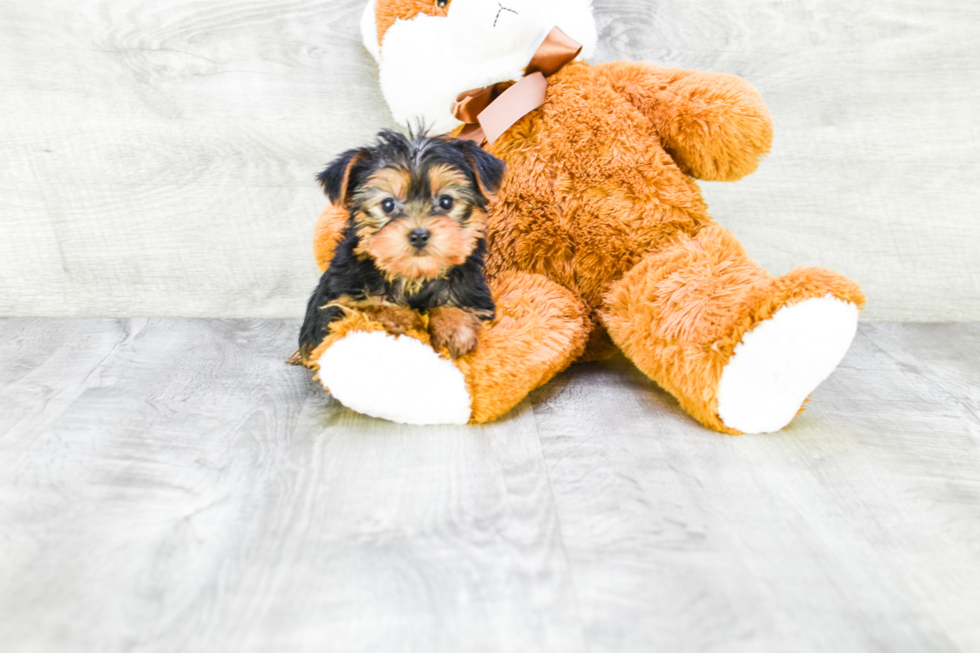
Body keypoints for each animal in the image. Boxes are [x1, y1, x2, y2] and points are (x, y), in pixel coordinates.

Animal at [294, 130, 506, 364]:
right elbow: (367, 308)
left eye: (446, 202)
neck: (413, 278)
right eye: (388, 205)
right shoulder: (337, 305)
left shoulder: (474, 296)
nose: (419, 235)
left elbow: (459, 305)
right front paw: (404, 318)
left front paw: (454, 327)